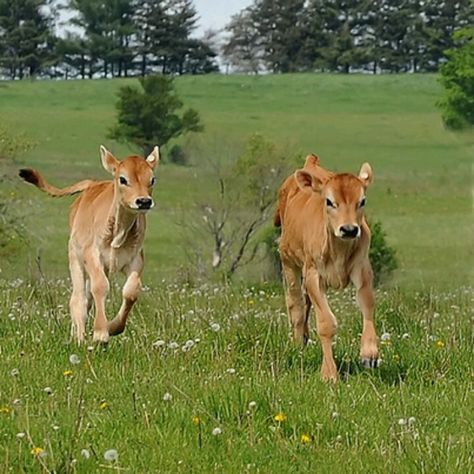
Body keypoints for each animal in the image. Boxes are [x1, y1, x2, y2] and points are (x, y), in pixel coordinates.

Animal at [19, 146, 159, 342]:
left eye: (152, 179)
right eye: (123, 179)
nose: (144, 201)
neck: (118, 234)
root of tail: (91, 184)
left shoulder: (135, 260)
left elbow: (131, 292)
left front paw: (112, 327)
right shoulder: (91, 255)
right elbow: (100, 287)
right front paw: (100, 333)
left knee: (87, 298)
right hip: (75, 258)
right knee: (78, 298)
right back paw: (78, 337)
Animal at [276, 156, 380, 382]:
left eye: (362, 201)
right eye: (329, 201)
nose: (349, 229)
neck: (338, 250)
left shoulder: (363, 270)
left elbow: (368, 304)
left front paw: (369, 353)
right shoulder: (314, 275)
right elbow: (326, 323)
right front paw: (329, 373)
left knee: (305, 303)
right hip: (288, 262)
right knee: (296, 304)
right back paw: (298, 342)